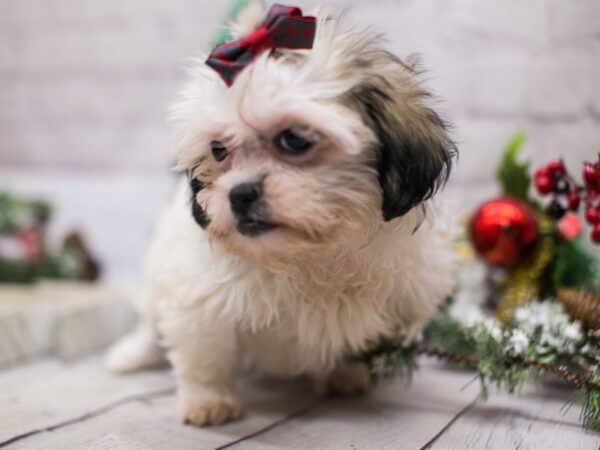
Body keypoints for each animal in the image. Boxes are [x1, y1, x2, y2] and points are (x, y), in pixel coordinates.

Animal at [106, 1, 454, 428]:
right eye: (218, 149)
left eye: (295, 139)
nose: (239, 193)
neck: (305, 258)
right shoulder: (199, 300)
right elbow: (205, 355)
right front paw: (208, 401)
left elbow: (350, 345)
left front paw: (344, 376)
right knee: (151, 323)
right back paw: (131, 354)